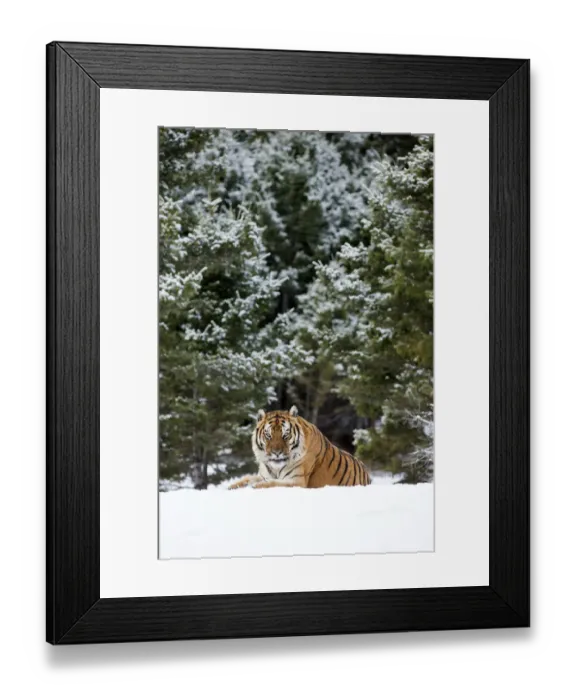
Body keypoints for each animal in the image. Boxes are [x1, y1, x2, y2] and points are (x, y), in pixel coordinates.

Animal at [227, 405, 372, 490]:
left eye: (285, 434)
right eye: (268, 435)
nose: (276, 453)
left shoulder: (297, 481)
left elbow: (273, 483)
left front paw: (256, 486)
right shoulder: (264, 475)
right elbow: (246, 478)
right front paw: (231, 486)